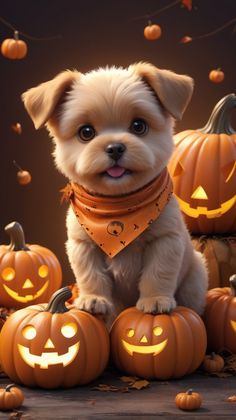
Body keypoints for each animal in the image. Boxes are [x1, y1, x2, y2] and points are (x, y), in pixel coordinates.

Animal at [21, 63, 206, 324]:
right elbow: (91, 275)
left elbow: (157, 273)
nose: (115, 147)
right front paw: (94, 299)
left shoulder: (165, 241)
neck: (118, 206)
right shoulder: (82, 244)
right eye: (86, 132)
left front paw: (155, 300)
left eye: (138, 126)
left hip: (196, 277)